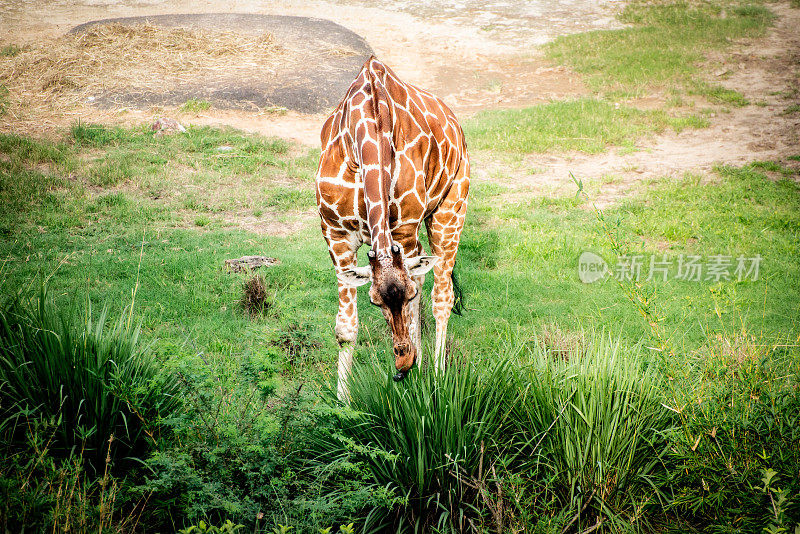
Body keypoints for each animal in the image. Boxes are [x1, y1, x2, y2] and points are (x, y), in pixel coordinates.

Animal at [318, 56, 472, 404]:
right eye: (374, 301)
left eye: (407, 294)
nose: (402, 365)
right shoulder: (335, 233)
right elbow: (345, 329)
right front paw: (341, 405)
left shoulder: (404, 230)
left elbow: (415, 313)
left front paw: (418, 387)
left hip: (450, 209)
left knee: (442, 297)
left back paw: (437, 379)